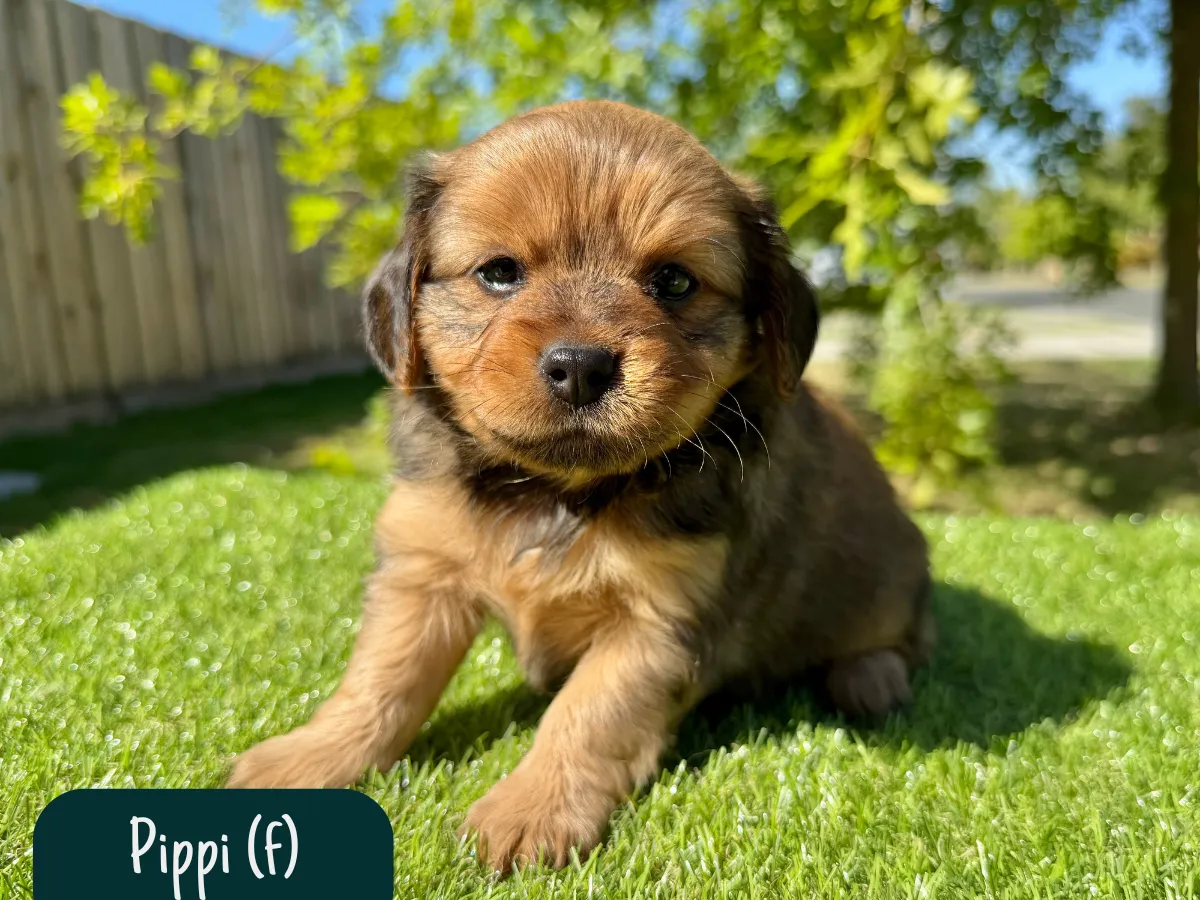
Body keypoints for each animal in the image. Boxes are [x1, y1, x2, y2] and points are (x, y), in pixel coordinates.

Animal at [227, 100, 934, 872]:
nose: (581, 365)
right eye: (499, 273)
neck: (555, 492)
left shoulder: (660, 620)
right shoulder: (422, 568)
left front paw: (528, 810)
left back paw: (870, 678)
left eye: (674, 282)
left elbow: (587, 715)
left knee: (906, 638)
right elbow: (382, 677)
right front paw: (311, 757)